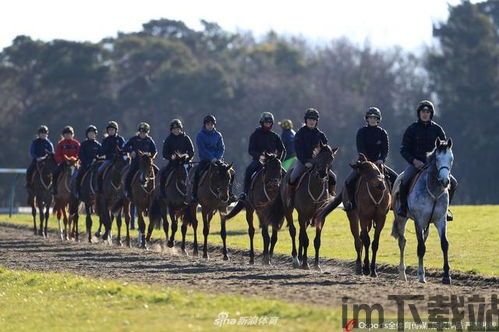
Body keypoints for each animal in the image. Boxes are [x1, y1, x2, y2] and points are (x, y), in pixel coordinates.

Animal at [392, 137, 456, 282]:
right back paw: (402, 274)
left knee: (423, 239)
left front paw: (446, 276)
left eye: (451, 159)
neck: (434, 190)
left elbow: (444, 244)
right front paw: (421, 276)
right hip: (401, 219)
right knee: (402, 242)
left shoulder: (440, 220)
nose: (445, 181)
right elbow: (420, 247)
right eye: (437, 159)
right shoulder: (419, 221)